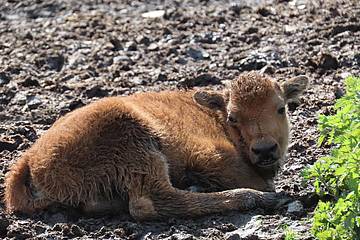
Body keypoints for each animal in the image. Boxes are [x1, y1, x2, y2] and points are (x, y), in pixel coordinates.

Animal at [4, 72, 308, 220]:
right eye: (234, 117)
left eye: (281, 108)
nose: (265, 149)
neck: (216, 116)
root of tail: (30, 157)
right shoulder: (210, 155)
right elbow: (257, 180)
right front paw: (268, 193)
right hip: (136, 143)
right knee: (149, 203)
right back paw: (253, 198)